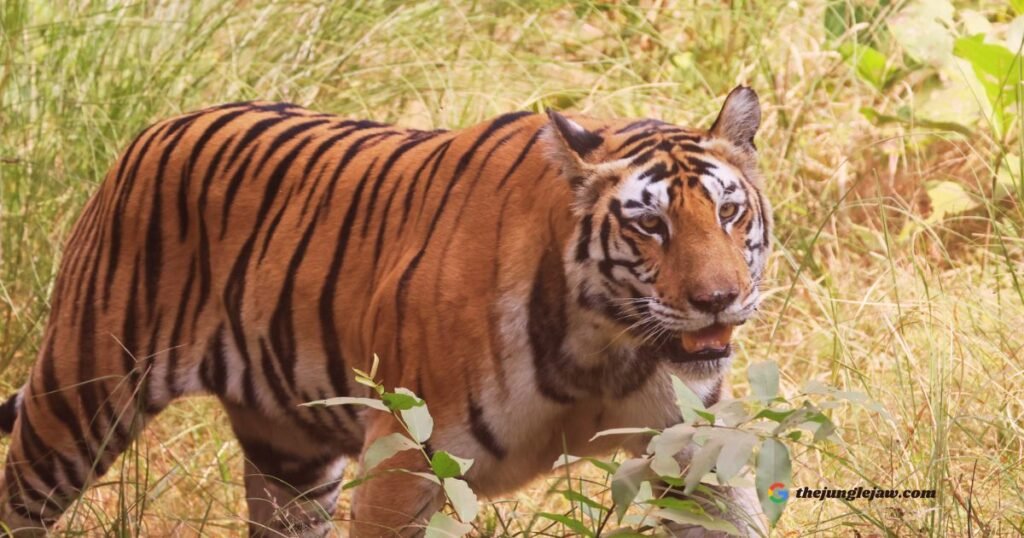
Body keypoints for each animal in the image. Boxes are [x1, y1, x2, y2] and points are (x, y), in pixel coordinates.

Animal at [0, 85, 771, 537]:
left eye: (729, 213)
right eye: (651, 226)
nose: (718, 299)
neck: (606, 346)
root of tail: (154, 129)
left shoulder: (695, 447)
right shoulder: (407, 463)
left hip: (292, 459)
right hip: (79, 400)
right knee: (21, 499)